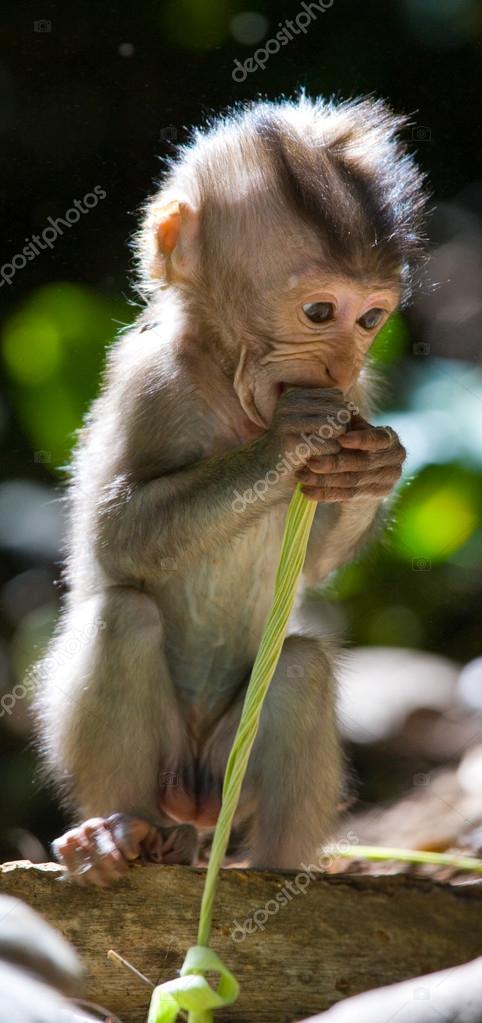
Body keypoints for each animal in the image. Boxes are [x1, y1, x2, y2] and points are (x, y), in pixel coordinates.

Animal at [34, 95, 428, 885]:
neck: (230, 387)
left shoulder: (362, 394)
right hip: (169, 768)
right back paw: (113, 835)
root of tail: (188, 804)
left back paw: (280, 873)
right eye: (319, 313)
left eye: (371, 319)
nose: (340, 368)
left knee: (301, 668)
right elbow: (112, 537)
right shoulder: (150, 381)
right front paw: (284, 445)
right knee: (122, 620)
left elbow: (314, 564)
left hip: (226, 779)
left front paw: (371, 466)